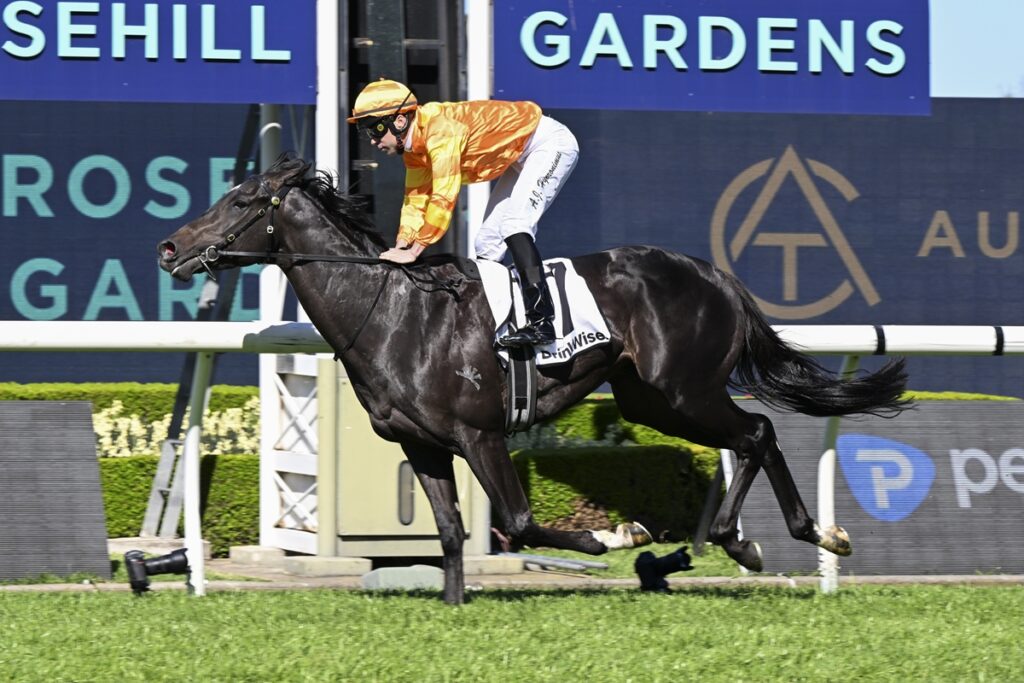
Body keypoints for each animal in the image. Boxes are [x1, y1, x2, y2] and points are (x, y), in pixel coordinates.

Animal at [158, 155, 910, 604]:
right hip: (653, 399)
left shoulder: (480, 434)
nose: (169, 247)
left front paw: (618, 537)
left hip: (684, 389)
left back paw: (788, 538)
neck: (394, 312)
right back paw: (758, 540)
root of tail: (715, 274)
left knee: (757, 430)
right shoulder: (421, 445)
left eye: (241, 202)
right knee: (754, 434)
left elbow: (517, 521)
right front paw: (454, 603)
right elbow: (451, 531)